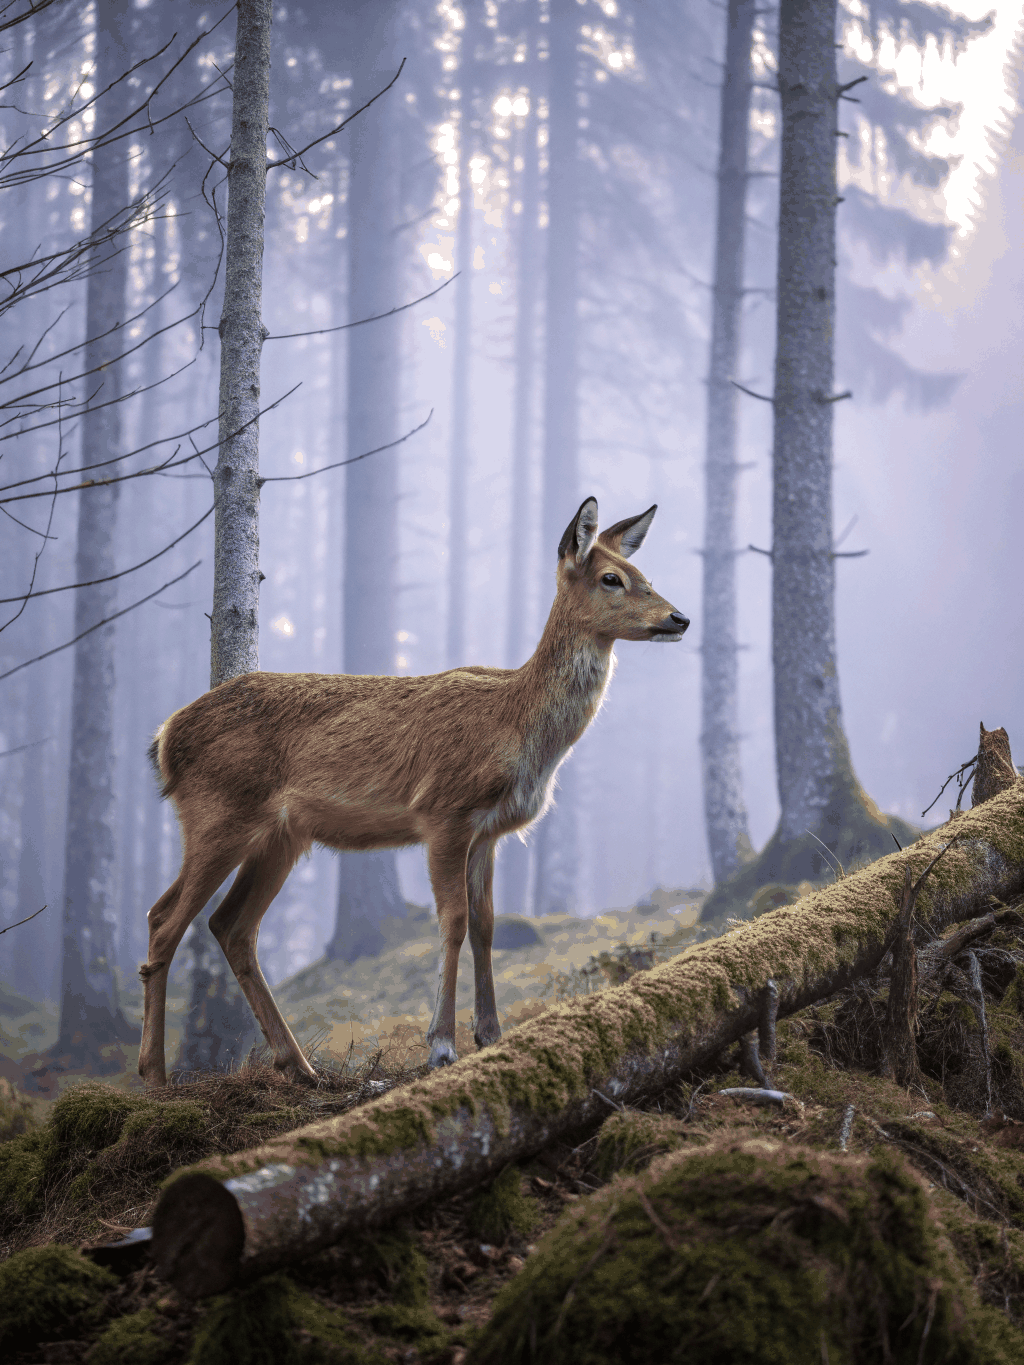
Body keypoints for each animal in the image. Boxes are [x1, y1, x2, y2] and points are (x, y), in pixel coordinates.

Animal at [137, 497, 689, 1085]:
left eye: (641, 572)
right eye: (612, 578)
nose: (679, 618)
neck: (515, 728)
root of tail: (166, 737)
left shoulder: (489, 833)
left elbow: (486, 924)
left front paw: (491, 1034)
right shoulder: (443, 813)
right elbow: (452, 921)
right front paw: (441, 1044)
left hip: (281, 837)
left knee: (231, 926)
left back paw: (300, 1065)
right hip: (216, 813)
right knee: (165, 919)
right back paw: (155, 1074)